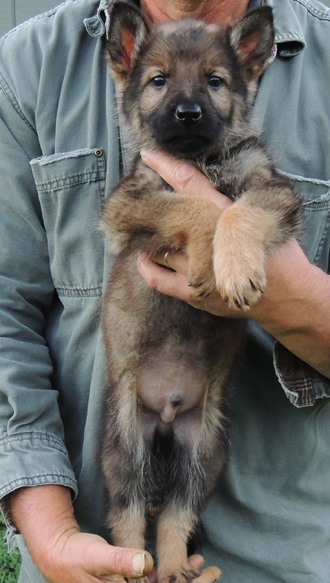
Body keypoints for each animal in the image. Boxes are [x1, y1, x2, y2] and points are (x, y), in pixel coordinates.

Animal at [100, 4, 302, 583]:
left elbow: (238, 210)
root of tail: (167, 414)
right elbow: (193, 206)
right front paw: (211, 260)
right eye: (158, 81)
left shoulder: (272, 188)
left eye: (215, 82)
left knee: (175, 513)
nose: (188, 113)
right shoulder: (130, 204)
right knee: (128, 515)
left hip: (205, 453)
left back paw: (171, 569)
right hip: (125, 447)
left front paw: (233, 267)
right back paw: (133, 567)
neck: (201, 158)